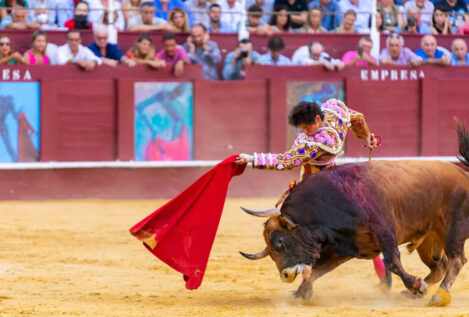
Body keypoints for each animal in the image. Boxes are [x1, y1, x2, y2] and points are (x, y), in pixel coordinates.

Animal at [239, 124, 468, 306]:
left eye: (279, 241)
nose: (285, 275)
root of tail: (462, 173)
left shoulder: (385, 231)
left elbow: (392, 261)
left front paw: (416, 285)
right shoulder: (346, 247)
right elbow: (319, 269)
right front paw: (302, 292)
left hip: (455, 227)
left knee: (456, 260)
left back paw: (437, 295)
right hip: (429, 240)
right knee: (440, 265)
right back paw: (415, 292)